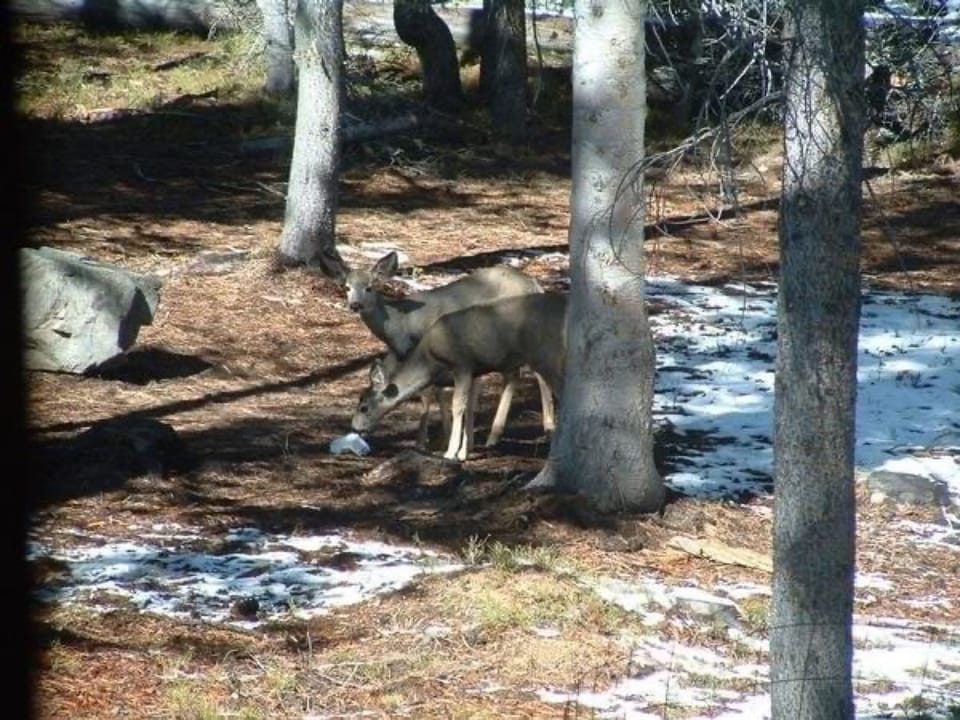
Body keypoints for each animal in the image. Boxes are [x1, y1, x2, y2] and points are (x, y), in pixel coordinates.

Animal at [343, 251, 556, 448]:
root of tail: (535, 285)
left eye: (369, 287)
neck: (399, 325)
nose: (355, 305)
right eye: (347, 287)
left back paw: (541, 427)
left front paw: (426, 441)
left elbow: (430, 393)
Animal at [352, 292, 567, 461]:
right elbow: (469, 406)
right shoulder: (474, 371)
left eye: (364, 407)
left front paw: (451, 452)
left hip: (545, 354)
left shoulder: (461, 364)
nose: (354, 428)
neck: (430, 361)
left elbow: (457, 405)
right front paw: (463, 452)